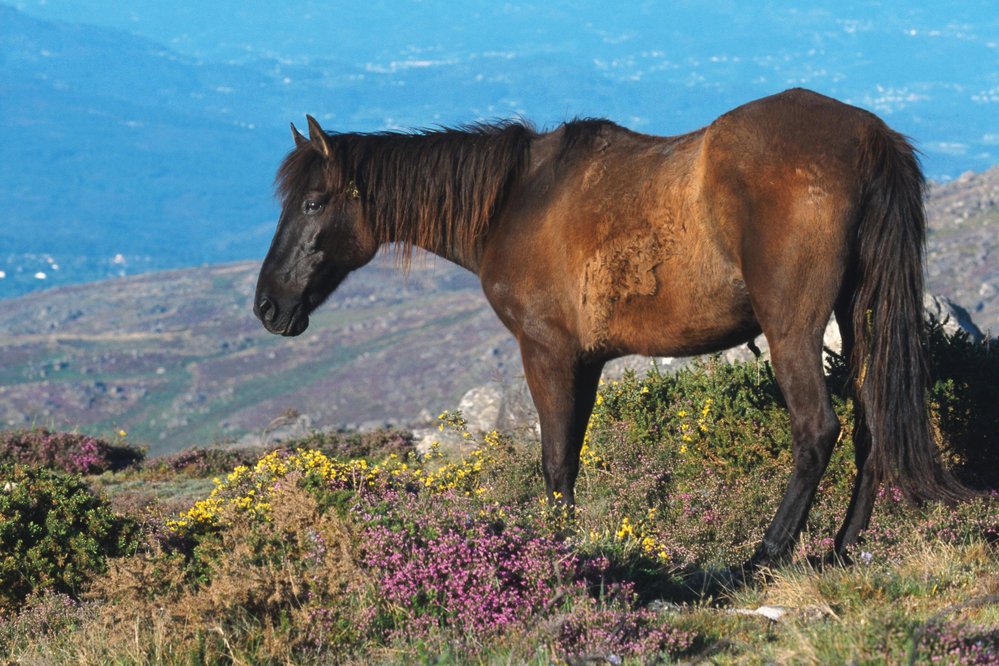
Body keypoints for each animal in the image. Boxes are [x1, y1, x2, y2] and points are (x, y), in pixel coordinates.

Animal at [256, 85, 968, 568]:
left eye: (314, 203)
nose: (267, 306)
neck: (516, 200)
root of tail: (869, 138)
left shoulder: (546, 352)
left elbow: (552, 460)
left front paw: (554, 552)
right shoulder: (588, 361)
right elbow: (570, 455)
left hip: (793, 327)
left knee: (818, 430)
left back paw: (766, 553)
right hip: (860, 315)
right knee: (872, 424)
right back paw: (843, 547)